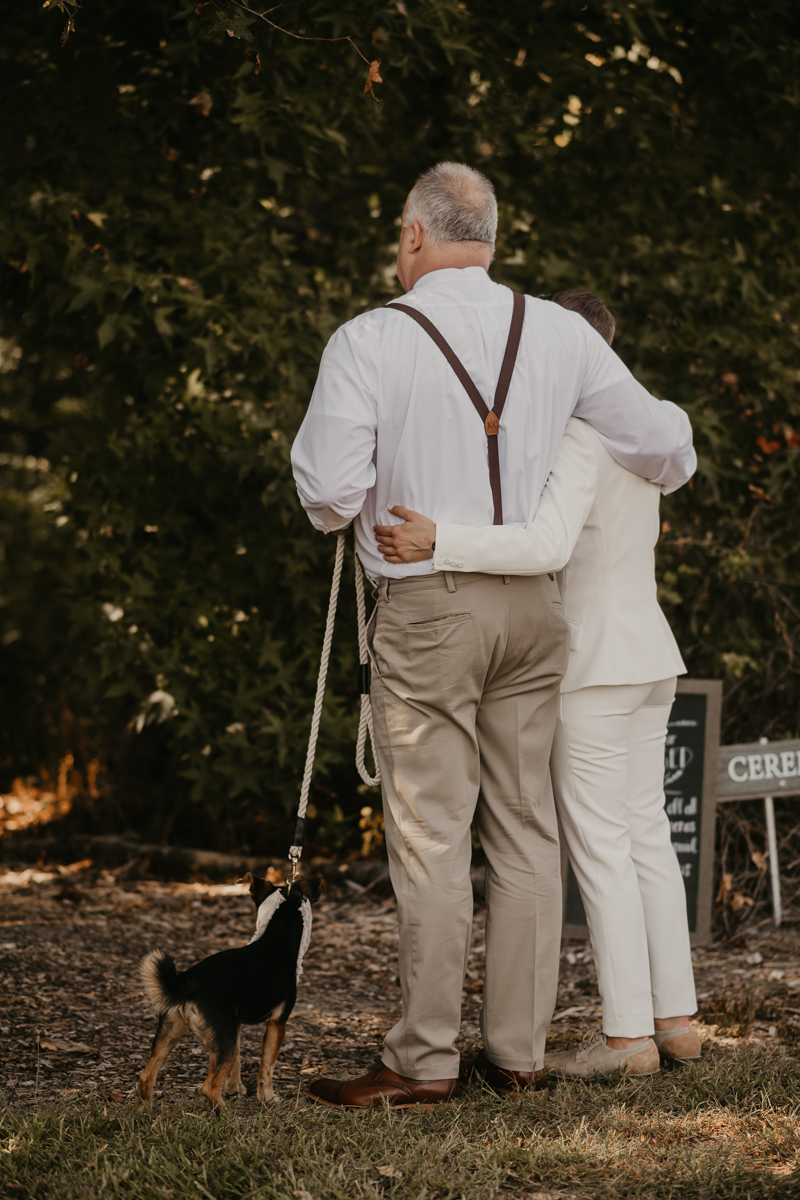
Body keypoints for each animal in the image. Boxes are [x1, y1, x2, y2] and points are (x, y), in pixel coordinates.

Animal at [138, 873, 321, 1113]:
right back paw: (225, 1114)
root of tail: (189, 980)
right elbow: (266, 1068)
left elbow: (239, 1061)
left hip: (176, 1033)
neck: (275, 940)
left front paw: (234, 1088)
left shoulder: (237, 1025)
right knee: (208, 1087)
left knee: (147, 1075)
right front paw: (268, 1099)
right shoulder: (277, 1024)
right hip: (219, 1038)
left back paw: (145, 1111)